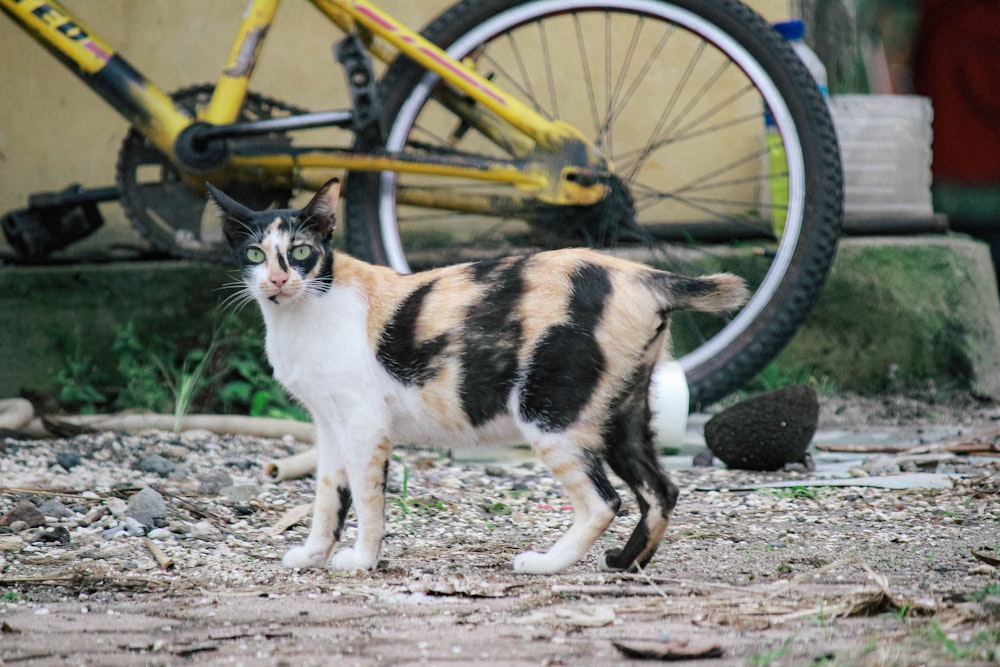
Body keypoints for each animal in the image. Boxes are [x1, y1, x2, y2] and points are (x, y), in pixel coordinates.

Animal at [209, 179, 744, 576]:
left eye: (300, 252)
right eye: (255, 255)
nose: (278, 280)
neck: (306, 309)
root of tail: (643, 274)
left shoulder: (363, 423)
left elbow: (365, 495)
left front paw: (361, 560)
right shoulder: (327, 423)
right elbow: (326, 492)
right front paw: (314, 553)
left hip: (551, 416)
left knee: (603, 501)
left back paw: (547, 564)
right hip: (624, 415)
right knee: (660, 491)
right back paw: (626, 564)